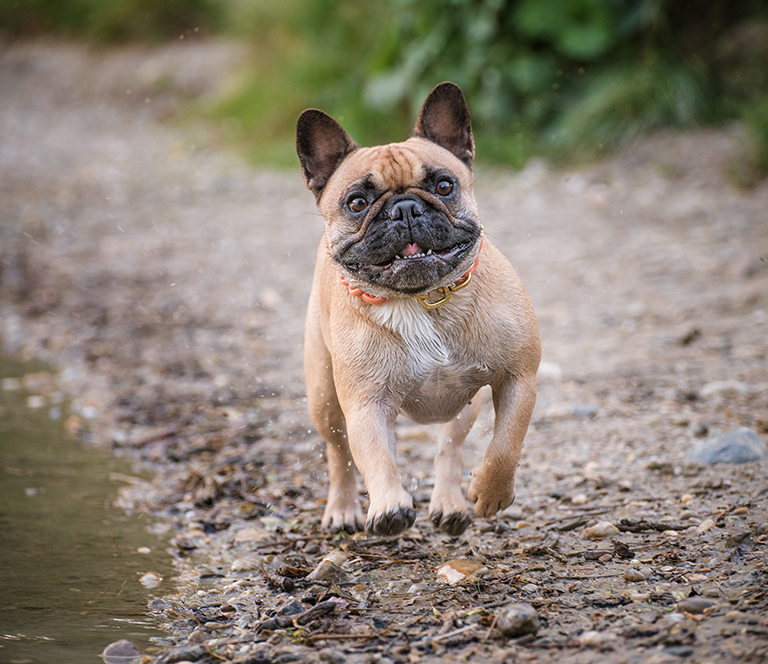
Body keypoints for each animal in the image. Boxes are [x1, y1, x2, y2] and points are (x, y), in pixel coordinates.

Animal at [296, 81, 540, 540]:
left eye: (444, 186)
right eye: (357, 203)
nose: (405, 208)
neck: (421, 298)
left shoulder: (519, 377)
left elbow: (506, 444)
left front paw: (491, 492)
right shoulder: (365, 405)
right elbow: (375, 456)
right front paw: (389, 506)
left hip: (464, 404)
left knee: (449, 446)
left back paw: (450, 503)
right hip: (324, 398)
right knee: (340, 453)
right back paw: (342, 509)